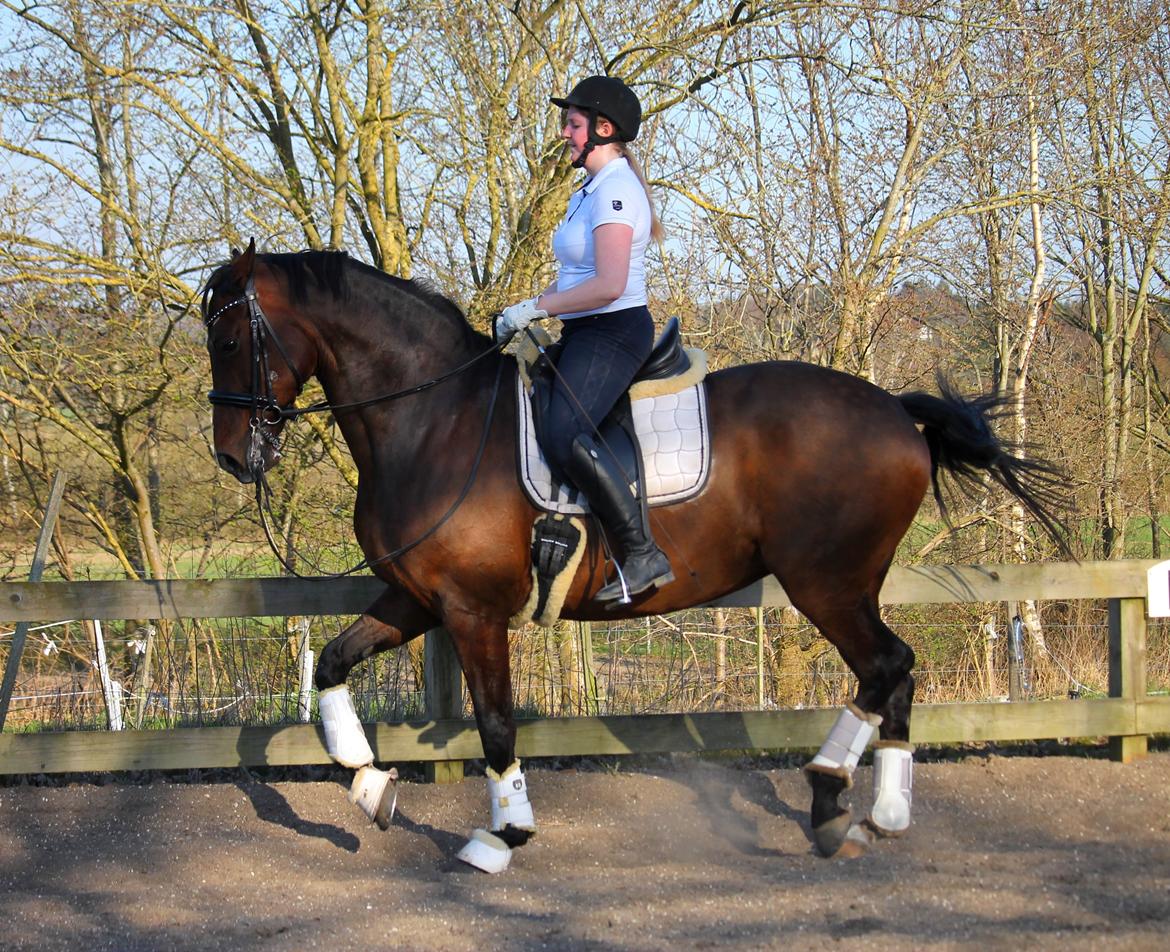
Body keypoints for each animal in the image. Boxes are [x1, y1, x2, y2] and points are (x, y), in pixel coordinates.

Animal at [203, 244, 1071, 870]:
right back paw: (872, 812)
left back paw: (834, 801)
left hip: (825, 580)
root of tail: (893, 408)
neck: (434, 420)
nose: (234, 458)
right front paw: (370, 786)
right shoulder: (421, 599)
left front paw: (501, 836)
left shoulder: (475, 612)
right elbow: (331, 665)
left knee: (887, 665)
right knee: (892, 673)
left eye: (232, 337)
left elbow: (495, 725)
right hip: (848, 583)